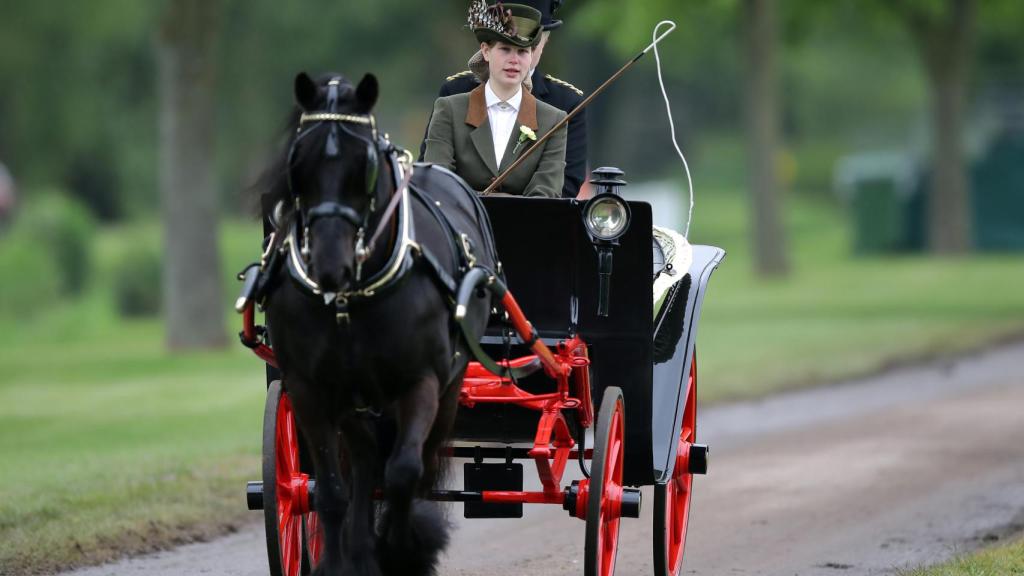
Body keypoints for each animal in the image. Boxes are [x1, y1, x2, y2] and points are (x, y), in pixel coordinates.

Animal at [260, 72, 499, 573]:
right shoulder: (309, 388)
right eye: (298, 162)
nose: (330, 265)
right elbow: (331, 490)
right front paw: (341, 560)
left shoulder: (422, 381)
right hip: (356, 398)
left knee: (414, 464)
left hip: (447, 386)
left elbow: (405, 472)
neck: (352, 298)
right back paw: (360, 547)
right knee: (365, 459)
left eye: (365, 166)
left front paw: (403, 549)